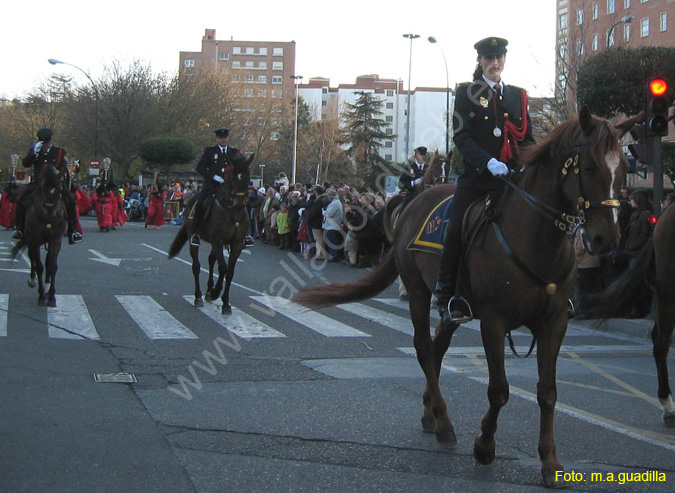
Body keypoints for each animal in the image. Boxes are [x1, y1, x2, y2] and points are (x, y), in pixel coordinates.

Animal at [10, 163, 67, 306]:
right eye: (42, 188)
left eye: (59, 189)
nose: (50, 216)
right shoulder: (34, 240)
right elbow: (39, 266)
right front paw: (41, 295)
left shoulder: (55, 240)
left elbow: (52, 265)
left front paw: (51, 296)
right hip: (30, 240)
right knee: (33, 259)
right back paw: (33, 280)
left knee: (46, 261)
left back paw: (46, 286)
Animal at [168, 153, 254, 312]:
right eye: (232, 177)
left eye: (248, 177)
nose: (240, 204)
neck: (233, 212)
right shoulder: (218, 241)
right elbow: (223, 268)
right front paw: (216, 292)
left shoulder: (237, 244)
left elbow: (230, 272)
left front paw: (225, 302)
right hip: (195, 238)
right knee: (196, 266)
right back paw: (199, 297)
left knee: (211, 260)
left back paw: (208, 291)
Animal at [298, 105, 640, 486]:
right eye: (591, 166)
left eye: (623, 171)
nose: (606, 240)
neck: (536, 238)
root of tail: (416, 202)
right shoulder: (493, 321)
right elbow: (499, 389)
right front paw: (485, 445)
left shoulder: (554, 323)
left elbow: (548, 392)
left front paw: (549, 462)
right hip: (419, 290)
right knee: (423, 347)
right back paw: (444, 421)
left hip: (453, 306)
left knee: (437, 346)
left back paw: (430, 412)